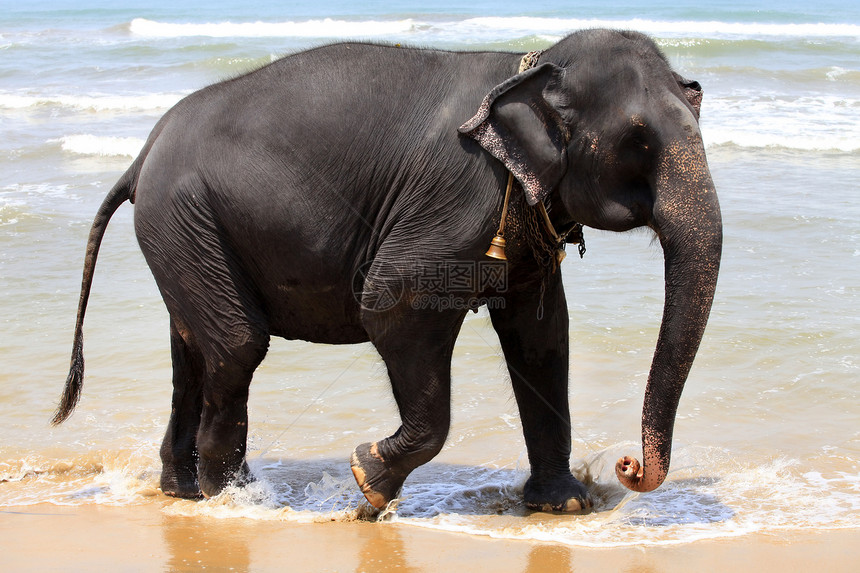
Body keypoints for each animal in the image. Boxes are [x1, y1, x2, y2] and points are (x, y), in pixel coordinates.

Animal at [52, 27, 720, 512]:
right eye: (638, 141)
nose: (628, 465)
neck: (527, 64)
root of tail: (140, 159)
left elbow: (541, 336)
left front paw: (564, 507)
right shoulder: (460, 194)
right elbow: (392, 305)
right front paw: (367, 484)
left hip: (186, 234)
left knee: (193, 351)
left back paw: (185, 492)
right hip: (183, 218)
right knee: (236, 347)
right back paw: (233, 503)